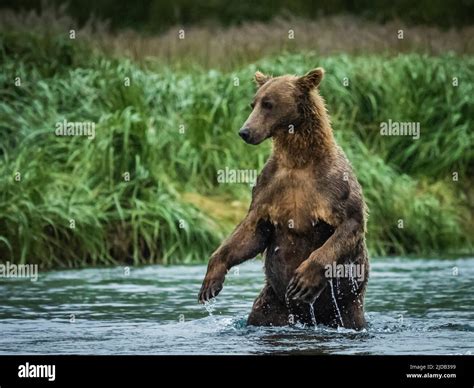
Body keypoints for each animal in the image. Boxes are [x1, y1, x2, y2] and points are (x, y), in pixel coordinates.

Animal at [198, 68, 368, 328]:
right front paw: (210, 281)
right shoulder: (269, 186)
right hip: (272, 302)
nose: (245, 132)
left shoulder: (335, 186)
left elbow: (349, 224)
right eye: (253, 103)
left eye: (268, 104)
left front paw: (304, 281)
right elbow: (252, 232)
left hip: (349, 302)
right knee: (261, 314)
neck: (299, 160)